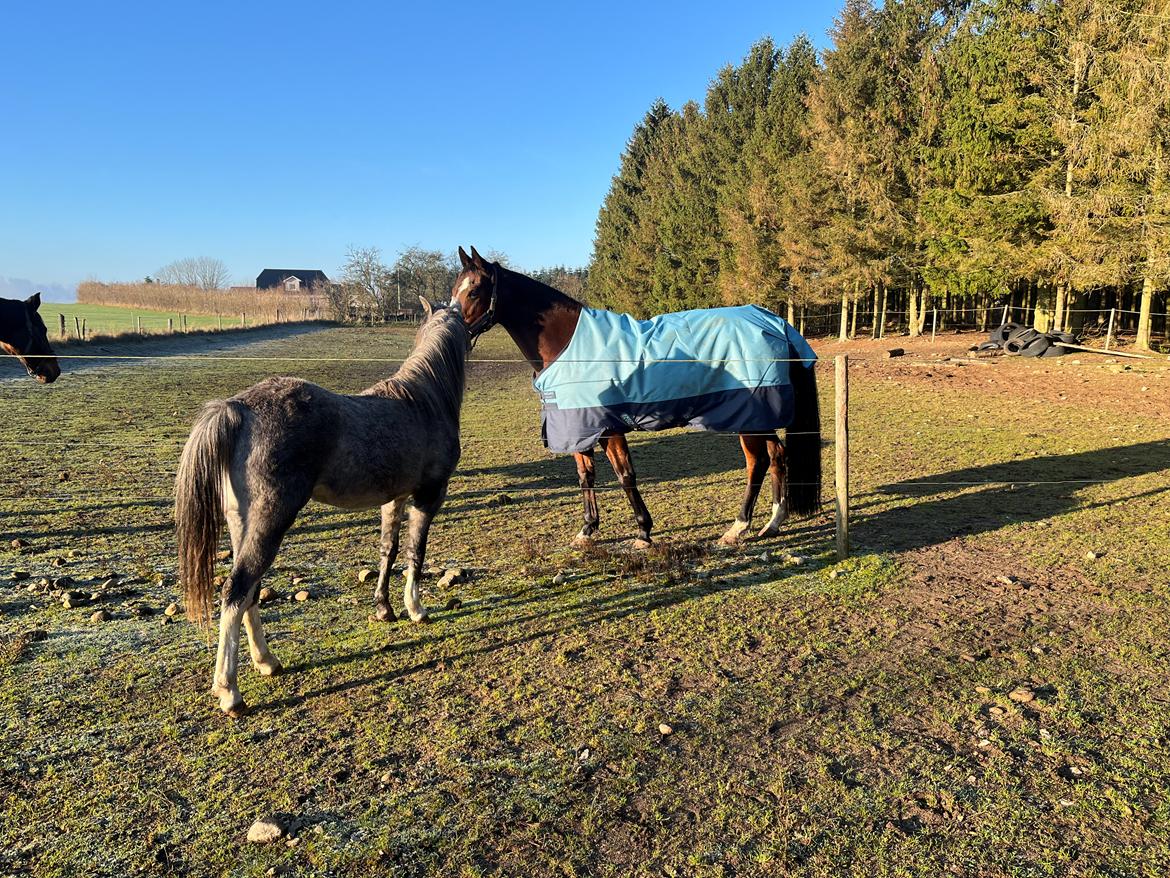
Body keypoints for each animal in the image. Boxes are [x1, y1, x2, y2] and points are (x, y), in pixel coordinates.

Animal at [175, 299, 469, 717]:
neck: (423, 400)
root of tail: (239, 409)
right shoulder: (429, 495)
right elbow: (416, 552)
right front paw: (416, 609)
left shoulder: (394, 498)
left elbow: (389, 550)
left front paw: (385, 608)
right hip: (271, 521)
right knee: (237, 590)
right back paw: (230, 691)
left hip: (243, 524)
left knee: (249, 593)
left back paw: (267, 661)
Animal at [449, 246, 821, 548]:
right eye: (455, 289)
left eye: (475, 290)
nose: (454, 330)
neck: (567, 344)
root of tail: (775, 323)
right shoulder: (579, 427)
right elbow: (586, 476)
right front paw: (587, 530)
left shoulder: (607, 428)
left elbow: (624, 475)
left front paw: (643, 531)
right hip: (760, 418)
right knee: (777, 455)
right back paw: (773, 523)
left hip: (748, 418)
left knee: (757, 463)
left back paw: (737, 528)